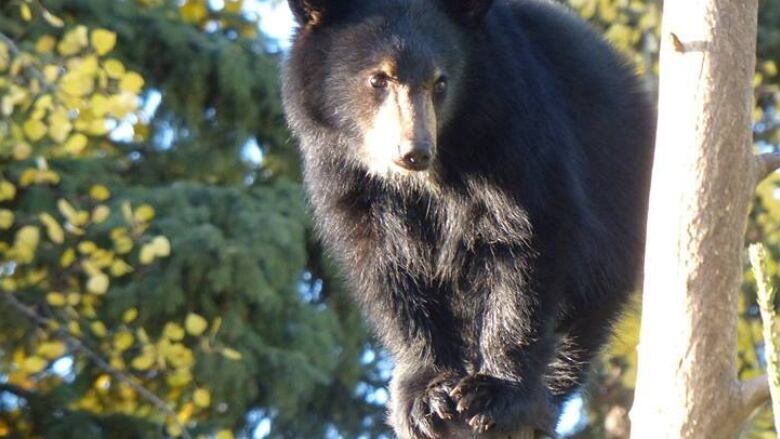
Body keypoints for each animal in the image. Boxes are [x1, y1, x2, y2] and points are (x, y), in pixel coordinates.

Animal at [282, 0, 660, 436]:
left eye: (440, 82)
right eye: (379, 79)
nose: (414, 151)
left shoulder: (515, 136)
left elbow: (528, 243)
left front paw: (495, 393)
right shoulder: (345, 180)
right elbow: (387, 273)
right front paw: (423, 397)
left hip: (618, 208)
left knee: (581, 322)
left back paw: (543, 404)